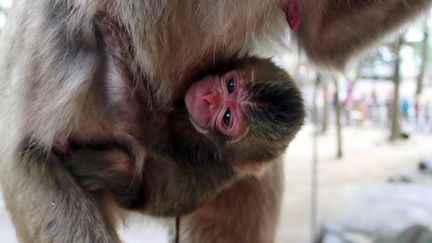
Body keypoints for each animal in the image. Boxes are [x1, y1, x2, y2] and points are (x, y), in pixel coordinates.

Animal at [64, 57, 304, 216]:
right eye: (231, 85)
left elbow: (135, 115)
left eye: (227, 118)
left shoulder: (191, 142)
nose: (209, 98)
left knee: (121, 165)